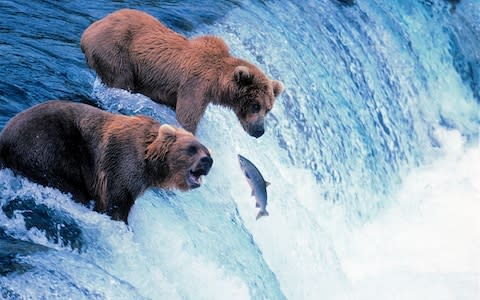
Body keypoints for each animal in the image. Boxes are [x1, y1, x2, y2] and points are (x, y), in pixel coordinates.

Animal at [0, 101, 212, 223]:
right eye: (192, 148)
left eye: (207, 150)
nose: (208, 161)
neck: (151, 164)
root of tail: (5, 136)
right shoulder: (122, 165)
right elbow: (115, 201)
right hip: (49, 145)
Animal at [80, 9, 284, 138]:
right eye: (256, 106)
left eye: (268, 109)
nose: (259, 131)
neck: (217, 83)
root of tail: (88, 30)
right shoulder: (195, 85)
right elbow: (187, 118)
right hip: (115, 51)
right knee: (121, 80)